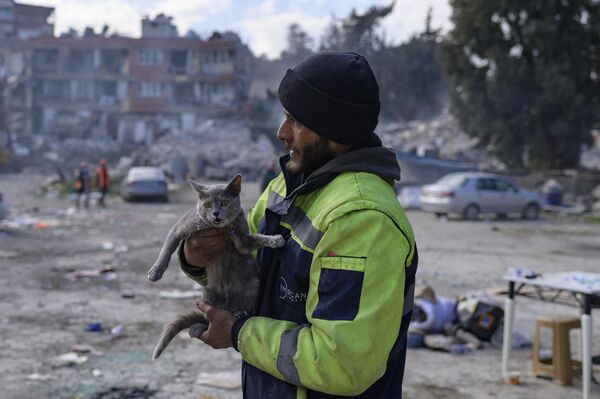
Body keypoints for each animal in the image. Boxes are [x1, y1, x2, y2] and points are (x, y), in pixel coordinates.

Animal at [148, 175, 284, 360]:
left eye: (225, 202)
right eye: (207, 205)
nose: (216, 213)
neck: (220, 228)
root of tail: (226, 307)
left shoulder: (243, 240)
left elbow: (257, 238)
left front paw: (275, 239)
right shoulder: (180, 228)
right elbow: (167, 248)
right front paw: (156, 271)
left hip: (252, 286)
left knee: (243, 308)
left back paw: (240, 313)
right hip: (207, 292)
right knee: (207, 319)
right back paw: (198, 327)